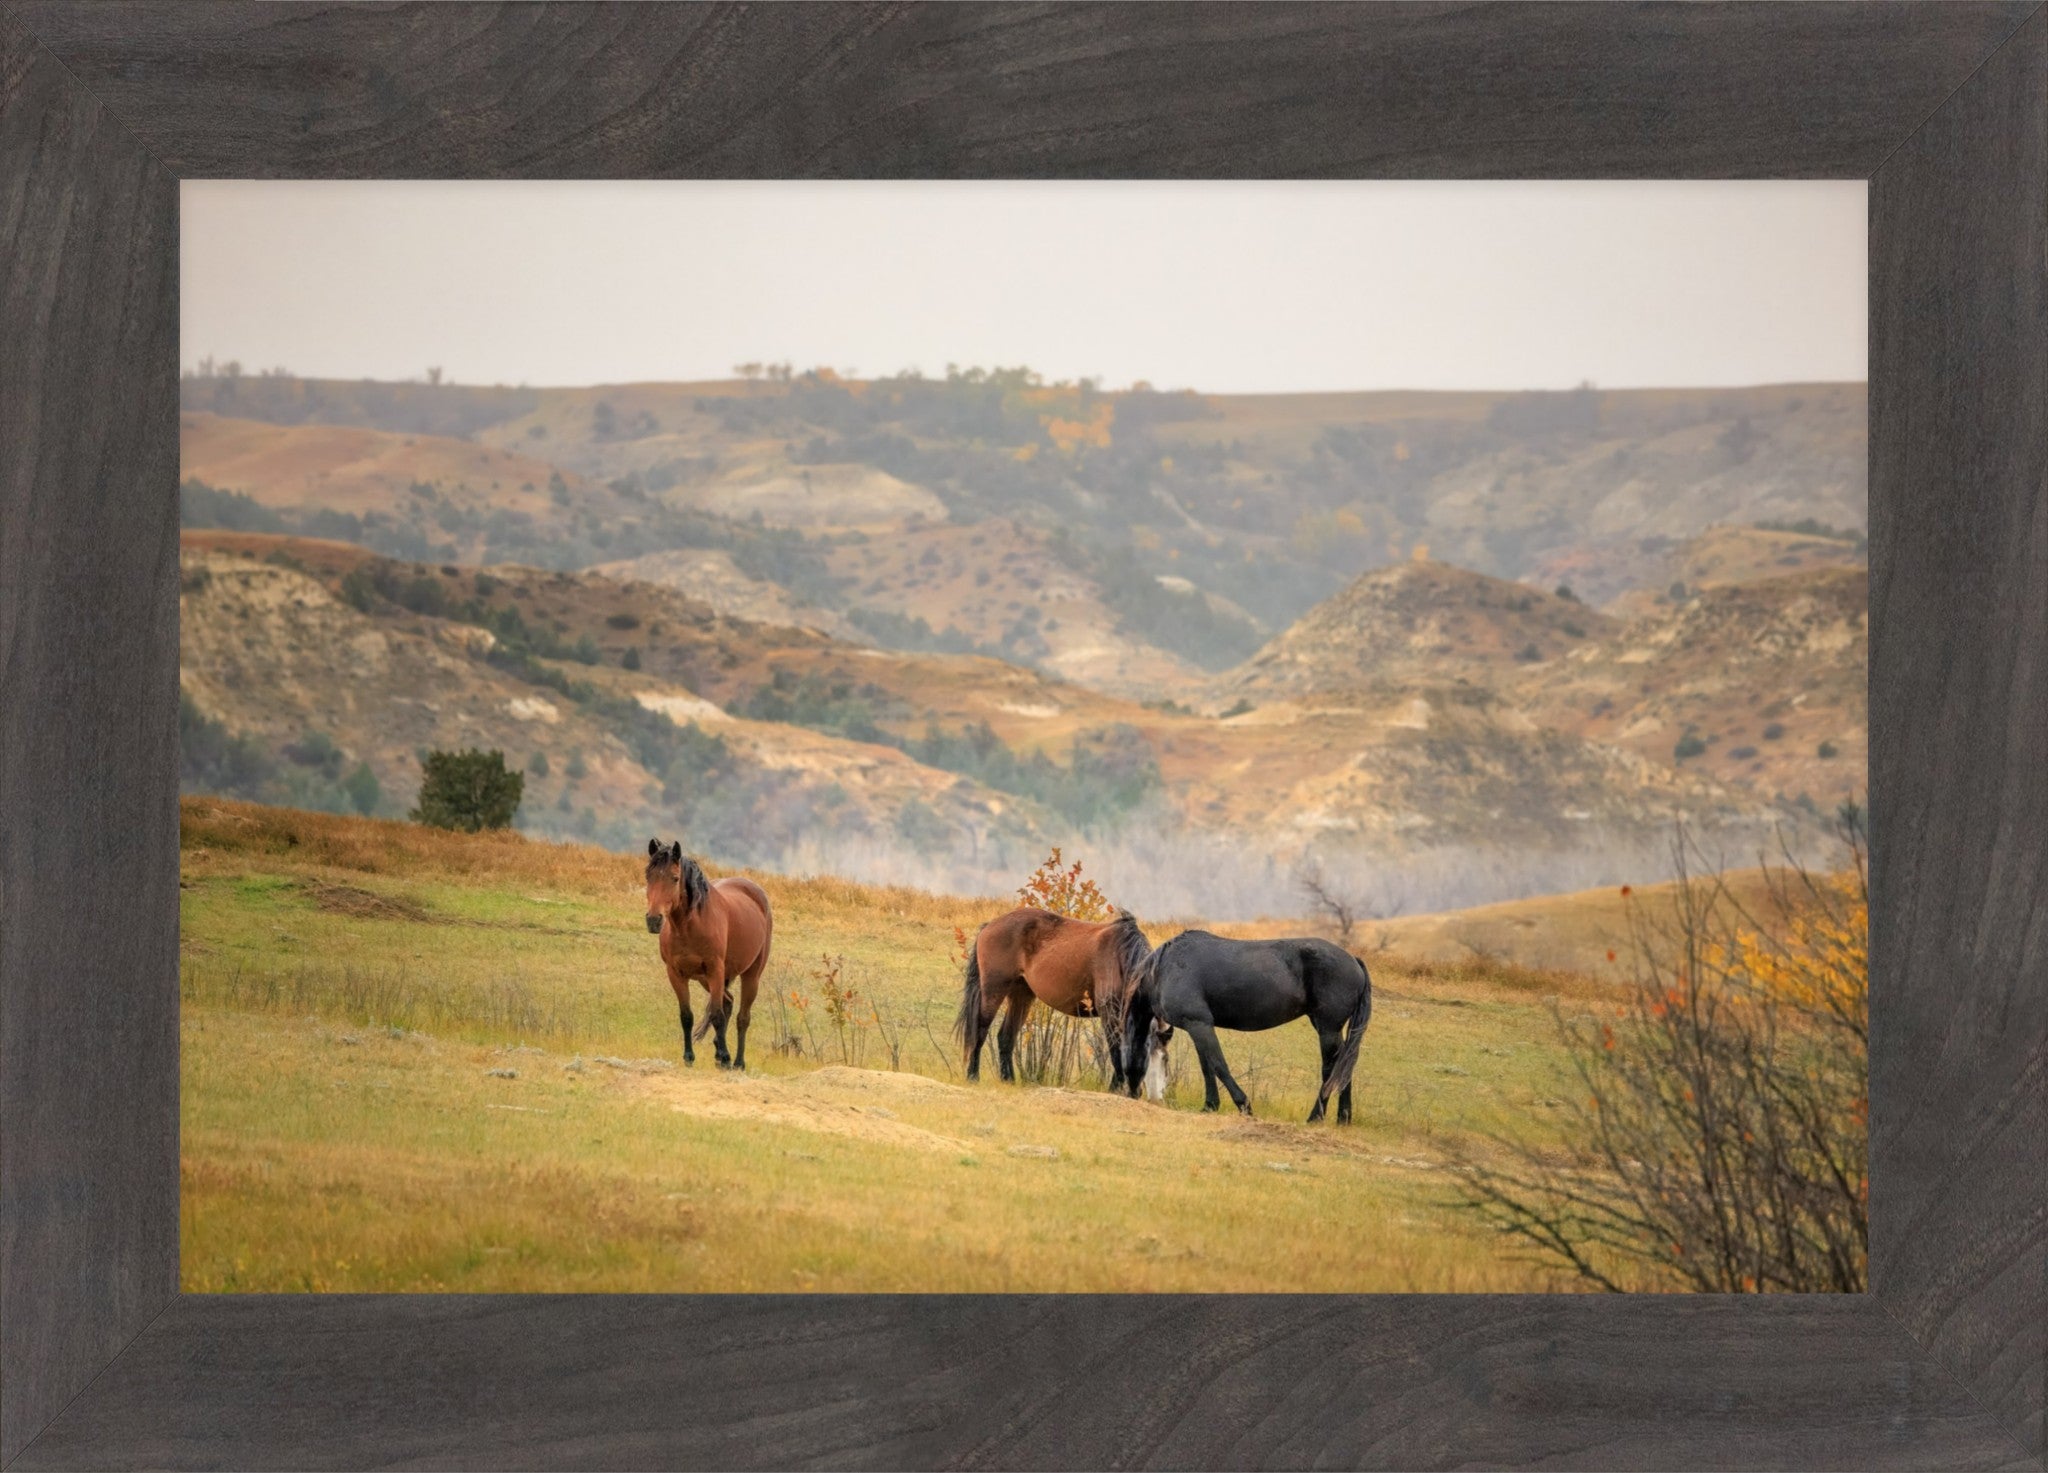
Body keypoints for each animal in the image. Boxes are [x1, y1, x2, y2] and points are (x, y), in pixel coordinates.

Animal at [643, 839, 773, 1070]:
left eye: (675, 878)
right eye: (648, 876)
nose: (653, 920)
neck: (688, 927)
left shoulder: (715, 970)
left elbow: (716, 1015)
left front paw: (725, 1057)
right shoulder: (675, 974)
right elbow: (686, 1016)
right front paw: (689, 1057)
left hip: (750, 975)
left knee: (742, 1017)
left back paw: (737, 1062)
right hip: (706, 979)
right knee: (728, 1002)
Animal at [954, 907, 1154, 1088]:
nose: (1135, 1092)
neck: (1120, 957)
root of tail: (989, 926)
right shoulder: (1110, 1012)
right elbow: (1116, 1050)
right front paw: (1114, 1088)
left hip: (1021, 995)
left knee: (1006, 1036)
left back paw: (1008, 1080)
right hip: (993, 990)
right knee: (980, 1031)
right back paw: (973, 1076)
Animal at [1122, 930, 1371, 1122]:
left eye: (1163, 1059)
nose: (1143, 1096)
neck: (1165, 969)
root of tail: (1354, 960)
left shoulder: (1200, 1024)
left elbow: (1219, 1065)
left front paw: (1244, 1106)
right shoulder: (1196, 1028)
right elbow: (1207, 1067)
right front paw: (1210, 1105)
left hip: (1327, 1029)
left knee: (1330, 1068)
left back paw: (1316, 1117)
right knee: (1344, 1066)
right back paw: (1343, 1118)